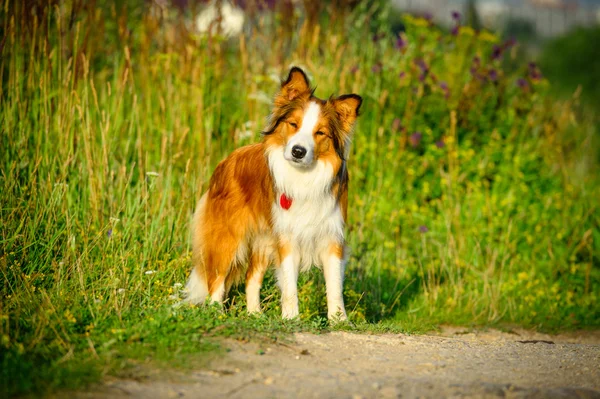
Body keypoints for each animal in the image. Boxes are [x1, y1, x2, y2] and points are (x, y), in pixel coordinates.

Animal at [183, 66, 360, 322]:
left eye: (320, 133)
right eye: (293, 124)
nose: (298, 151)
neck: (304, 177)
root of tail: (226, 161)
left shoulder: (331, 235)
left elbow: (335, 286)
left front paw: (339, 320)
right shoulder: (287, 237)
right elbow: (289, 286)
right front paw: (291, 319)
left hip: (263, 241)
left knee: (251, 277)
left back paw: (255, 314)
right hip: (228, 236)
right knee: (216, 278)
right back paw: (216, 313)